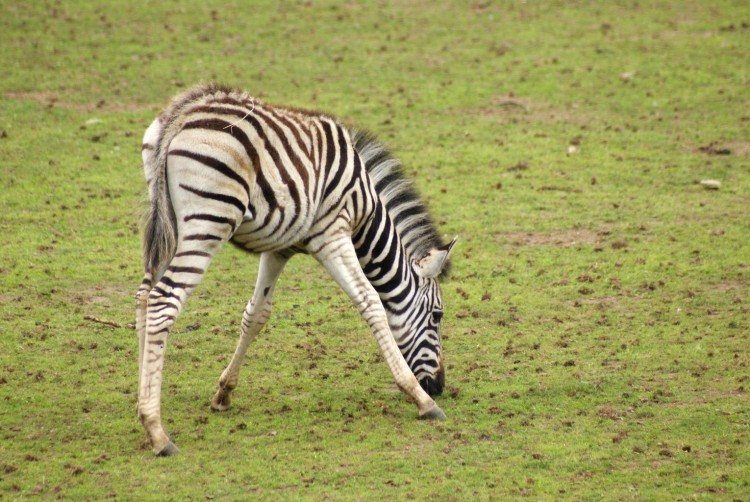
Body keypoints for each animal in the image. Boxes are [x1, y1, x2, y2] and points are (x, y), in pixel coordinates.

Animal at [137, 84, 458, 456]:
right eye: (437, 316)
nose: (439, 386)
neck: (366, 212)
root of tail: (184, 113)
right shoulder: (332, 234)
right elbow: (370, 303)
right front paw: (422, 400)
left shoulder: (280, 249)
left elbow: (256, 314)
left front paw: (224, 393)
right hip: (209, 221)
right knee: (164, 300)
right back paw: (157, 431)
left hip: (167, 222)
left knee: (144, 296)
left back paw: (141, 404)